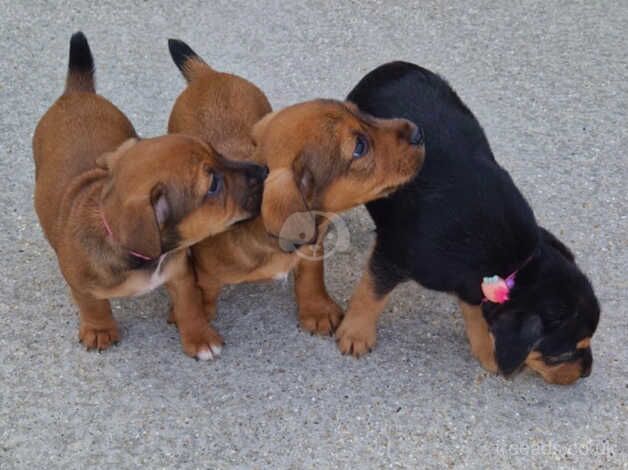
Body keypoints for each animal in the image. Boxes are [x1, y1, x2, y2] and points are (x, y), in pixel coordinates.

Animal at [33, 31, 266, 358]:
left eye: (218, 153)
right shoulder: (79, 282)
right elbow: (93, 305)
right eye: (213, 186)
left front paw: (199, 337)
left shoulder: (181, 275)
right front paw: (99, 329)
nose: (264, 170)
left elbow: (190, 306)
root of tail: (76, 93)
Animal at [336, 60, 600, 384]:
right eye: (565, 352)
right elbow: (371, 294)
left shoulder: (474, 285)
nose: (587, 373)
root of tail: (392, 66)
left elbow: (476, 311)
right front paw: (355, 334)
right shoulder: (392, 256)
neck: (517, 265)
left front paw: (486, 349)